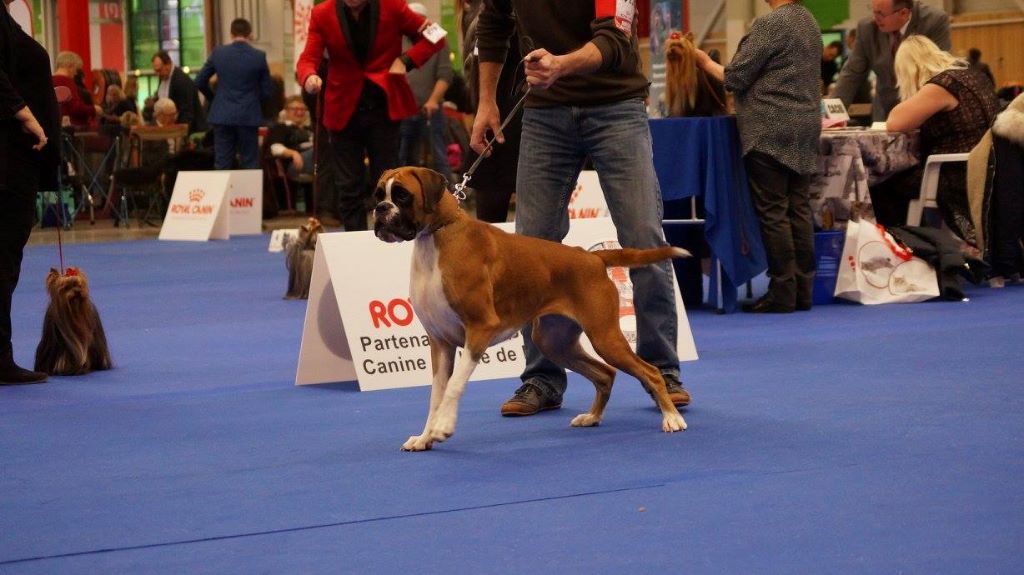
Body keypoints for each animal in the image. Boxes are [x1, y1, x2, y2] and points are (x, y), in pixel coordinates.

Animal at [370, 164, 688, 448]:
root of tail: (592, 257)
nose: (380, 209)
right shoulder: (441, 344)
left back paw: (671, 418)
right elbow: (435, 396)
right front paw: (425, 437)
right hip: (555, 342)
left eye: (402, 195)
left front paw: (443, 427)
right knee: (605, 374)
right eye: (378, 194)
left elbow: (454, 386)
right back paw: (592, 417)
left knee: (650, 372)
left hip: (605, 337)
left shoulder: (479, 330)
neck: (438, 234)